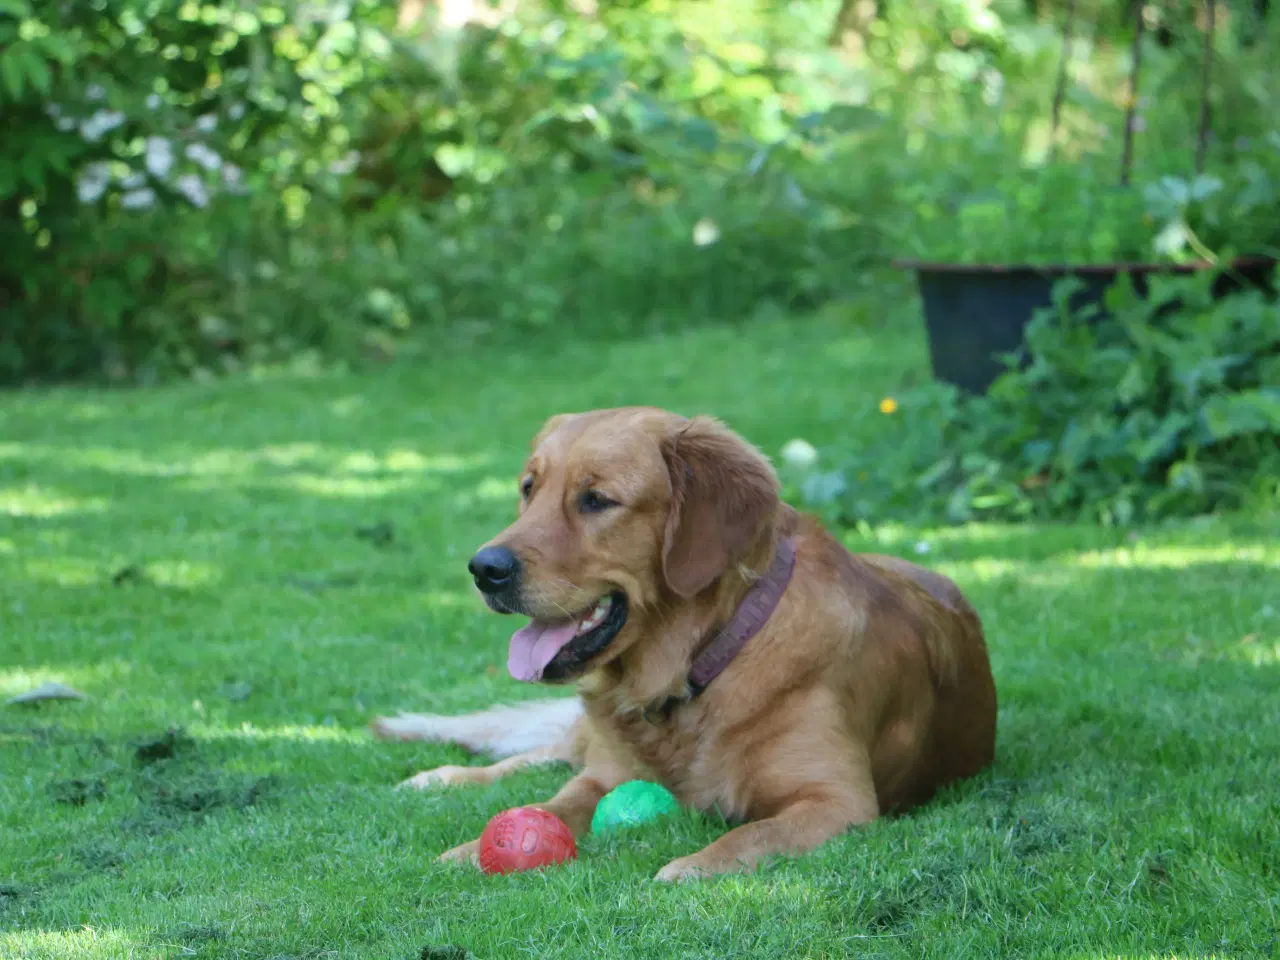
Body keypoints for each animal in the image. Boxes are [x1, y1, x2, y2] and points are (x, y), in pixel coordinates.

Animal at [373, 409, 998, 885]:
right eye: (529, 490)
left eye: (596, 500)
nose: (484, 569)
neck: (698, 669)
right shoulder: (602, 775)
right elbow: (553, 804)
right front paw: (471, 848)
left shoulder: (837, 801)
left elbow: (753, 834)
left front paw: (693, 866)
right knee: (539, 752)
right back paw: (441, 777)